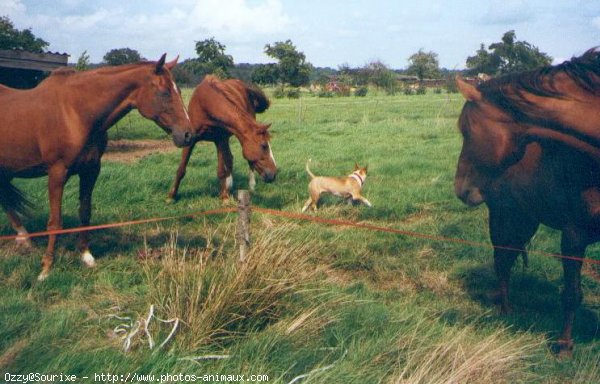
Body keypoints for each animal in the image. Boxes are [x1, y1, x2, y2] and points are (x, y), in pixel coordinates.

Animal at [0, 54, 192, 280]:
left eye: (178, 90)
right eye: (165, 92)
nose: (188, 134)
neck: (75, 112)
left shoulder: (90, 170)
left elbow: (85, 212)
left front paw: (86, 255)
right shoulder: (57, 173)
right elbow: (55, 222)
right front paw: (46, 269)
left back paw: (23, 236)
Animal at [454, 49, 600, 356]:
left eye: (465, 130)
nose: (460, 189)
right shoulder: (574, 235)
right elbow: (572, 293)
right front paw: (564, 346)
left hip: (526, 218)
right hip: (505, 217)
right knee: (502, 260)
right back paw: (505, 308)